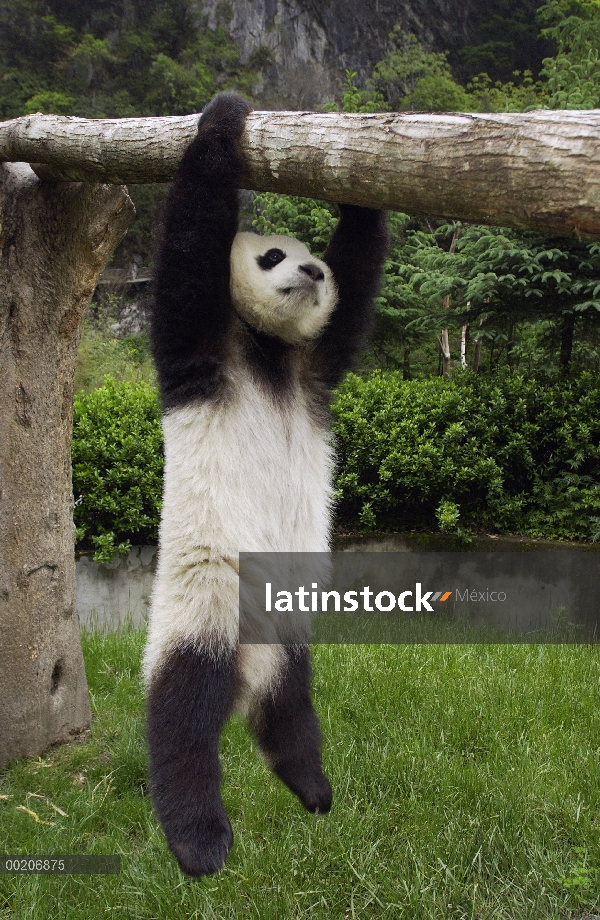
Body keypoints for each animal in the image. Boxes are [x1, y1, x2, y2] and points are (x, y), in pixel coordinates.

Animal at [145, 91, 390, 876]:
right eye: (275, 255)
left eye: (316, 261)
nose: (311, 274)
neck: (267, 348)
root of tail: (245, 678)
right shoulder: (201, 348)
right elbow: (190, 244)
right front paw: (223, 115)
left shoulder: (317, 366)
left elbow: (358, 279)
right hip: (203, 607)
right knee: (182, 720)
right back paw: (198, 841)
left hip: (292, 631)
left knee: (293, 712)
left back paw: (311, 787)